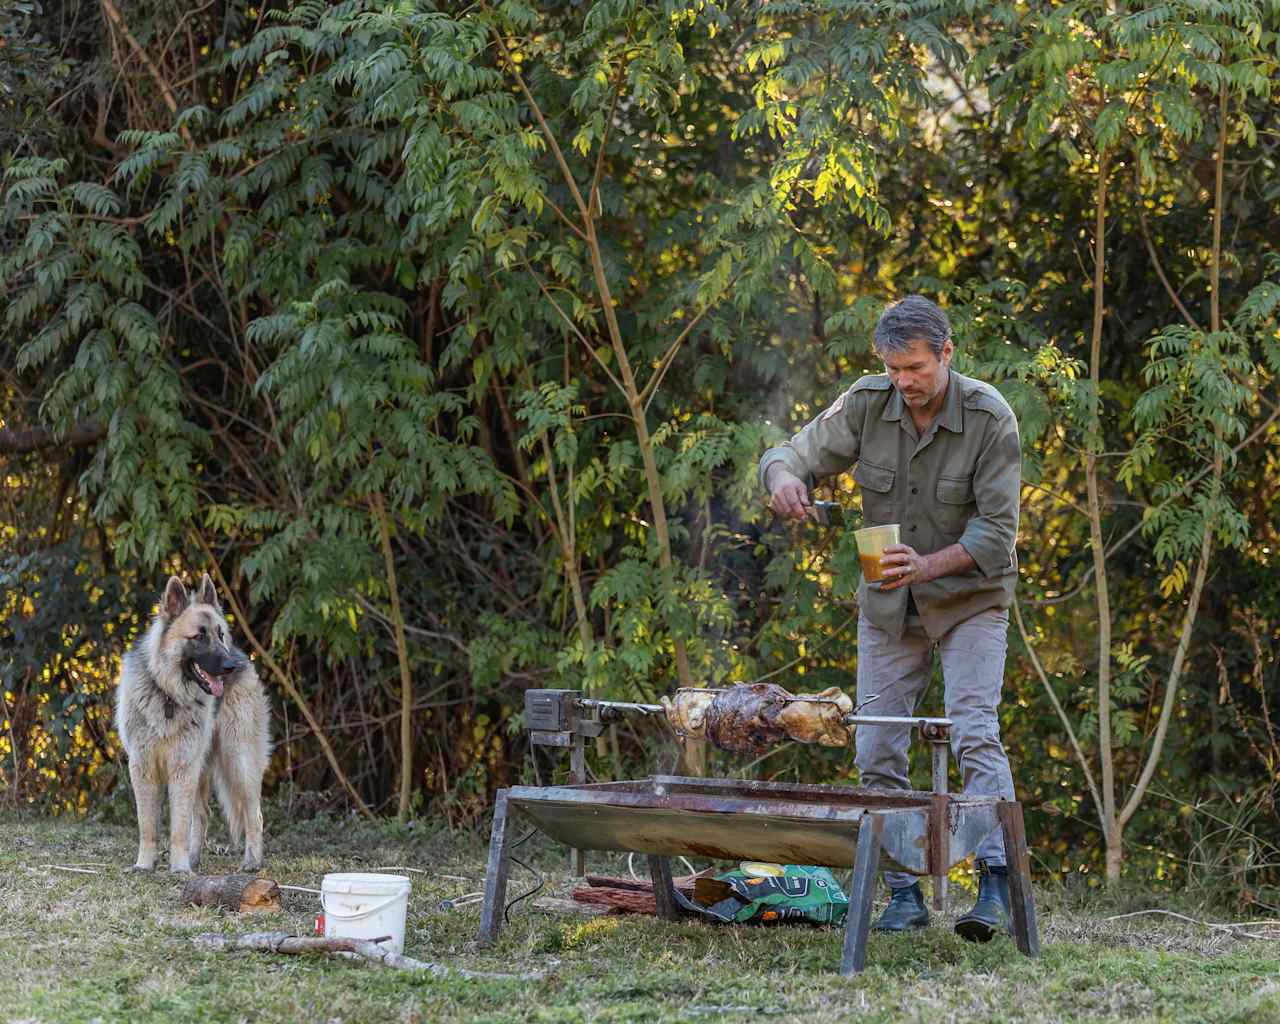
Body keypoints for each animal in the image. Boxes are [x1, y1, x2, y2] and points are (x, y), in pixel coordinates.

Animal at [115, 576, 270, 870]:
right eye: (199, 636)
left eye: (220, 635)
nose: (230, 666)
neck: (169, 694)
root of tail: (241, 655)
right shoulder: (144, 768)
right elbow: (148, 826)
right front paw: (145, 865)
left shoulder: (181, 768)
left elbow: (178, 826)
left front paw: (178, 868)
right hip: (202, 769)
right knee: (204, 814)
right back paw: (194, 857)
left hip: (238, 760)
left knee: (254, 815)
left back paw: (251, 862)